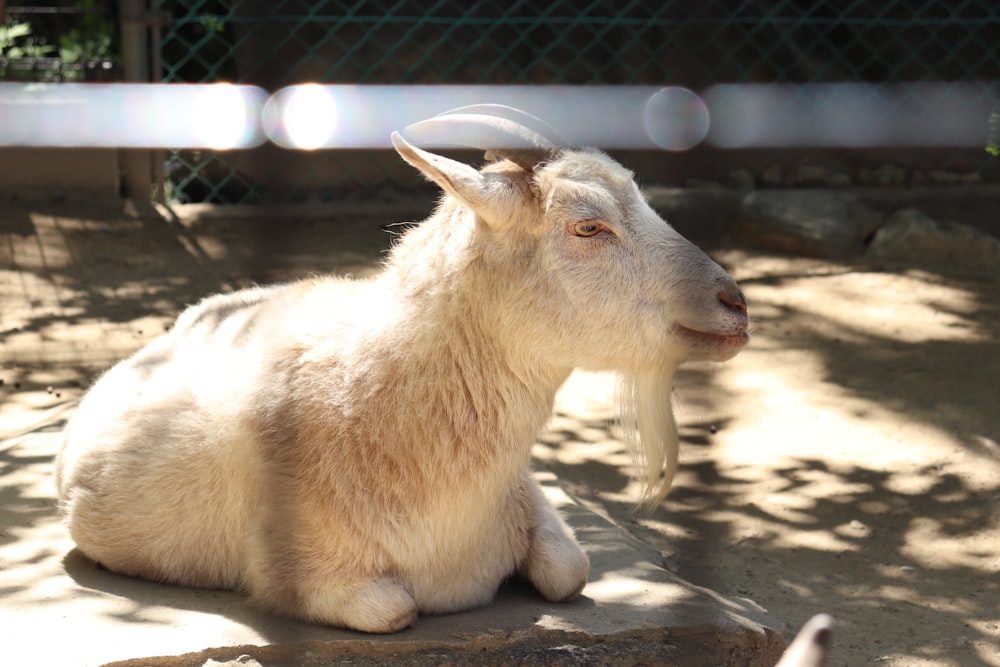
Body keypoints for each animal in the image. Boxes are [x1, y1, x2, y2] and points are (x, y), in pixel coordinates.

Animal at [52, 104, 744, 632]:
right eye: (588, 226)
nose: (734, 304)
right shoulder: (310, 577)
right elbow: (394, 610)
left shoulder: (529, 498)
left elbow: (570, 572)